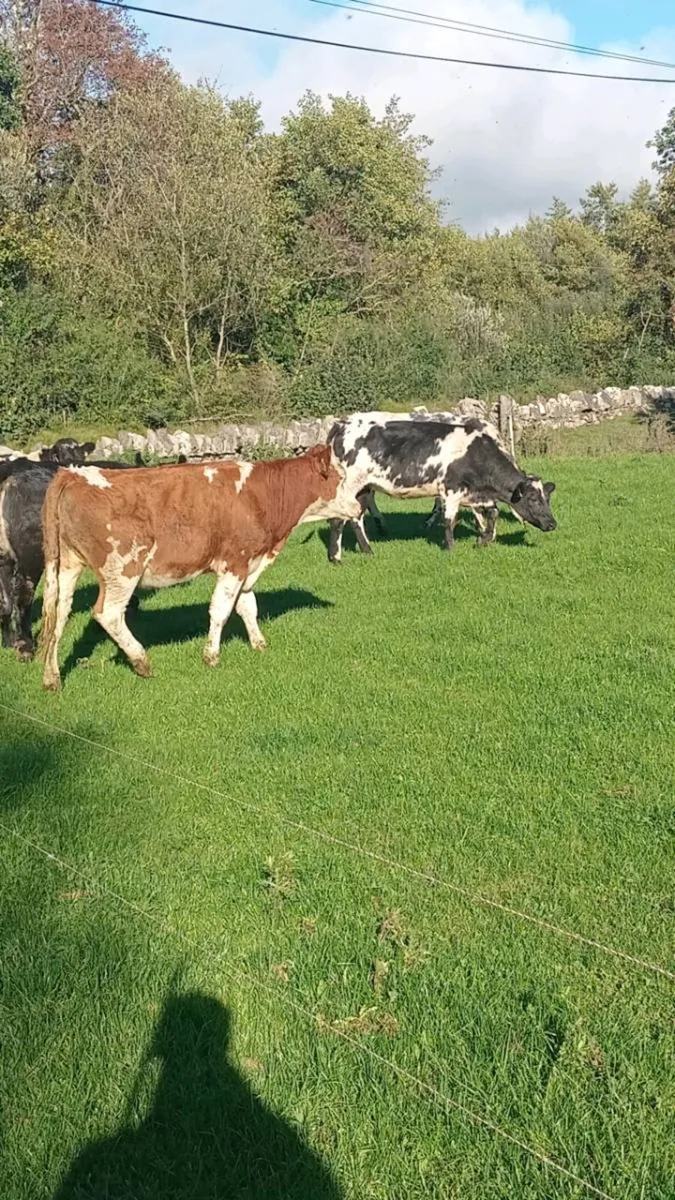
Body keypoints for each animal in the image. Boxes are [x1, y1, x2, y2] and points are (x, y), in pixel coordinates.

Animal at [39, 445, 360, 690]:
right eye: (340, 477)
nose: (359, 507)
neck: (260, 495)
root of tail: (74, 474)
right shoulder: (234, 562)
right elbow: (221, 610)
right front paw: (211, 656)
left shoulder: (248, 563)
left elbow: (248, 607)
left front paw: (259, 644)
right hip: (122, 569)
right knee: (107, 613)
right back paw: (141, 661)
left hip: (67, 566)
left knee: (59, 616)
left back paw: (52, 678)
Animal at [326, 412, 556, 563]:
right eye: (533, 499)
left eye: (547, 498)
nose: (553, 524)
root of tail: (343, 425)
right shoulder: (451, 489)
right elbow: (449, 521)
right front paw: (451, 549)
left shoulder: (476, 494)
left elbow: (493, 513)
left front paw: (483, 540)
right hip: (349, 485)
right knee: (338, 519)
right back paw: (336, 557)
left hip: (364, 488)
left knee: (356, 518)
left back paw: (367, 550)